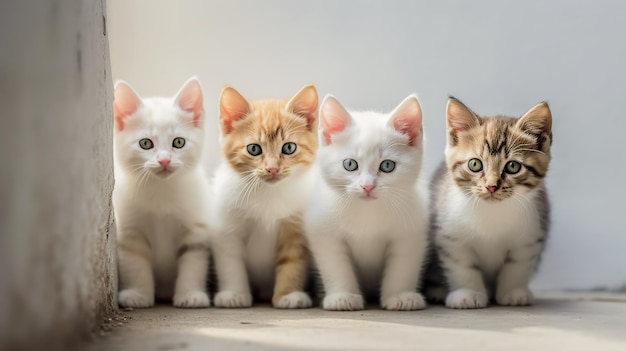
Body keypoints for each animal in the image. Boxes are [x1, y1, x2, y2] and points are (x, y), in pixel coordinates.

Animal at [111, 78, 210, 310]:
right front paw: (138, 295)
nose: (164, 160)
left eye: (179, 142)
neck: (161, 190)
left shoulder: (195, 230)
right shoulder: (130, 231)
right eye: (145, 143)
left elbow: (193, 263)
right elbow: (135, 263)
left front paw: (190, 295)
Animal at [211, 84, 320, 310]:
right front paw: (234, 294)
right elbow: (230, 261)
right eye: (254, 149)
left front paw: (289, 295)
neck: (267, 193)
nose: (272, 169)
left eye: (289, 147)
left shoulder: (295, 226)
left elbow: (293, 260)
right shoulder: (226, 227)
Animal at [304, 95, 428, 312]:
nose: (367, 186)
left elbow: (403, 265)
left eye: (387, 165)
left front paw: (400, 296)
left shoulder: (410, 231)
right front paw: (342, 297)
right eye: (350, 164)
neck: (367, 211)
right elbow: (335, 264)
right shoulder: (323, 231)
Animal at [424, 97, 552, 310]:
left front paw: (513, 293)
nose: (491, 186)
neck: (492, 212)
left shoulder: (530, 237)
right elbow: (462, 266)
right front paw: (468, 294)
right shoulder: (450, 237)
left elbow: (516, 266)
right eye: (475, 164)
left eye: (513, 166)